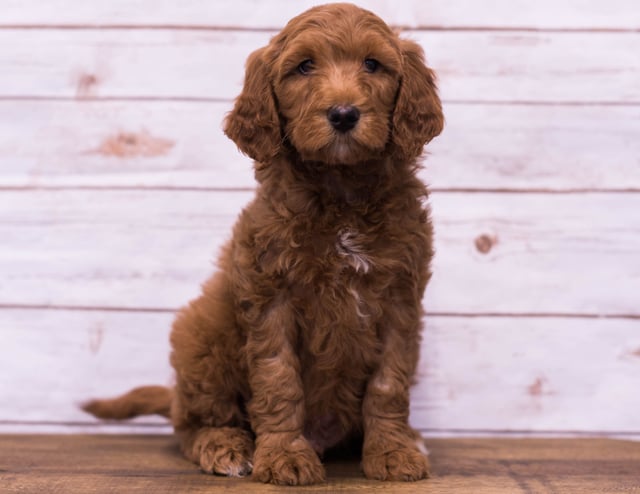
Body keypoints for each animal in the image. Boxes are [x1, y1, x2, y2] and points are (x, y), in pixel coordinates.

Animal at [84, 1, 444, 484]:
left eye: (373, 64)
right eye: (304, 66)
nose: (344, 114)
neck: (341, 191)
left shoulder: (400, 299)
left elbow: (390, 382)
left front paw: (392, 451)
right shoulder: (271, 296)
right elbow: (278, 379)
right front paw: (284, 456)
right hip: (201, 332)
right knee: (192, 424)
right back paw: (225, 446)